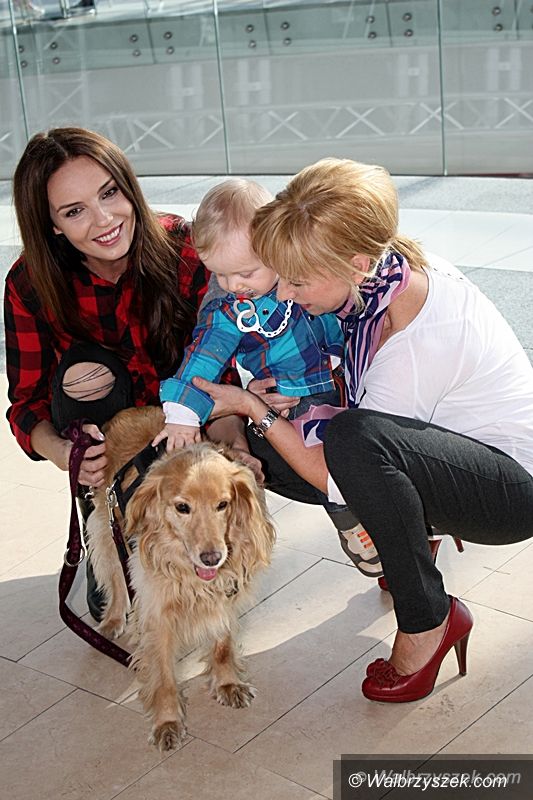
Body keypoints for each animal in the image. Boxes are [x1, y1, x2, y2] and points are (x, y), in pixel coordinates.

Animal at [86, 406, 276, 751]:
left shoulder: (224, 592)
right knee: (116, 579)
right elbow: (162, 677)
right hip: (107, 527)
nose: (212, 557)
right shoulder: (156, 614)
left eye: (223, 504)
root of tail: (130, 409)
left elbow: (222, 645)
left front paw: (227, 683)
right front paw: (167, 723)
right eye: (182, 507)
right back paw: (113, 620)